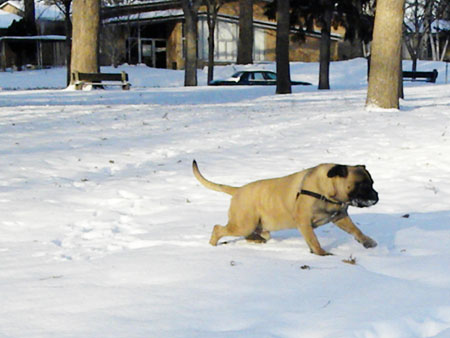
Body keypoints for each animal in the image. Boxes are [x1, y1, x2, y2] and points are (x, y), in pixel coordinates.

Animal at [192, 160, 378, 255]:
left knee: (255, 235)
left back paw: (256, 240)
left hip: (257, 226)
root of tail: (237, 190)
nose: (376, 197)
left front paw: (367, 241)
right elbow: (314, 240)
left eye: (372, 182)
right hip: (243, 223)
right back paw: (212, 244)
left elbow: (356, 230)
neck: (327, 192)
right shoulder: (304, 222)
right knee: (218, 228)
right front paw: (321, 253)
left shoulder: (339, 216)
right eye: (362, 185)